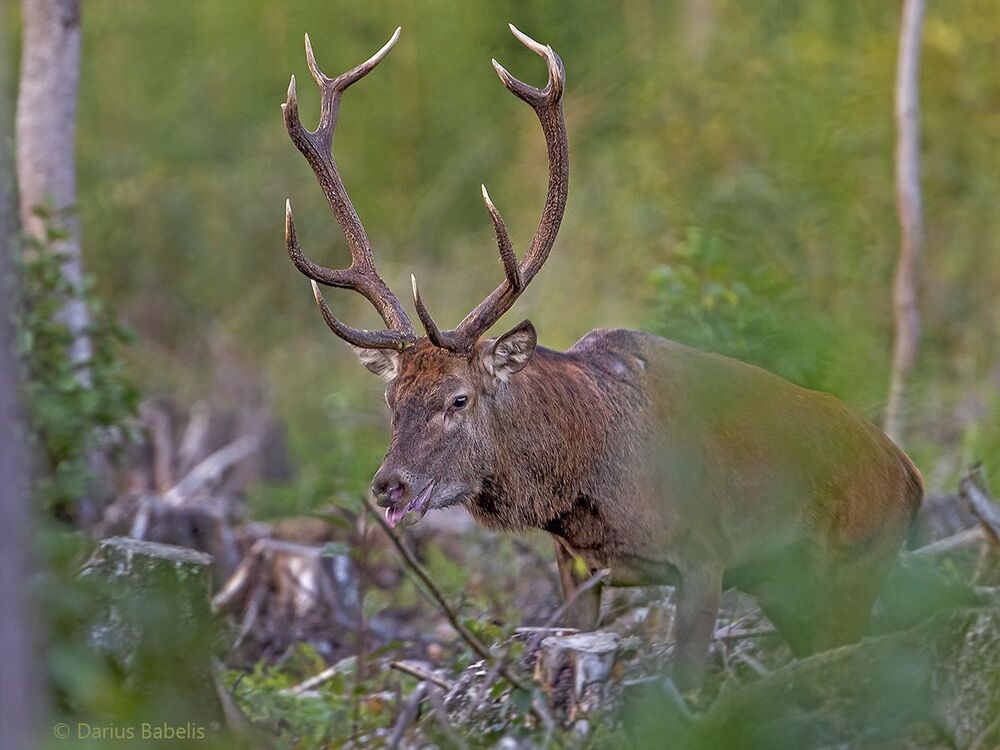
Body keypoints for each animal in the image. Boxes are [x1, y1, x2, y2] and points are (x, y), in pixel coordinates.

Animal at [280, 25, 924, 686]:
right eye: (392, 399)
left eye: (459, 398)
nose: (389, 485)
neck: (588, 483)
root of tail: (912, 477)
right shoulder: (575, 568)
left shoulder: (706, 554)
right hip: (791, 592)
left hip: (854, 568)